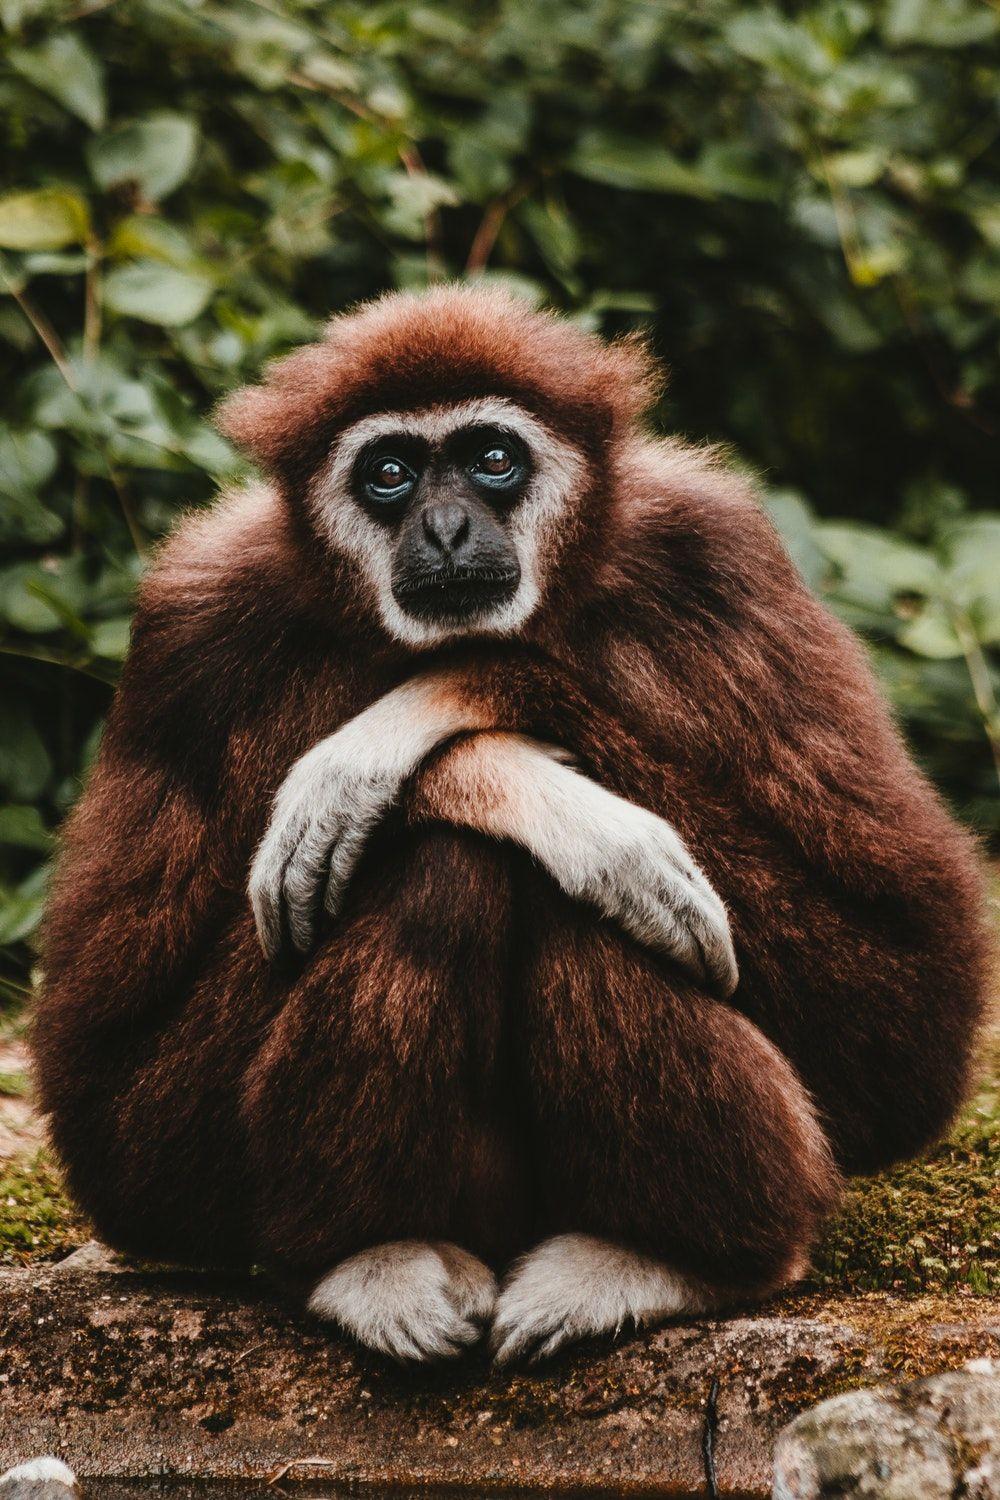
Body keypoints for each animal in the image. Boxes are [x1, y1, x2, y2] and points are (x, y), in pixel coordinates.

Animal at [33, 285, 990, 1365]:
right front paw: (490, 772)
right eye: (390, 473)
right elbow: (111, 1107)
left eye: (493, 457)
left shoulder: (722, 560)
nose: (448, 528)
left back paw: (670, 1259)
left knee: (588, 896)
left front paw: (426, 715)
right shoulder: (189, 629)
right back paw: (372, 1256)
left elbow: (907, 1005)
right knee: (445, 867)